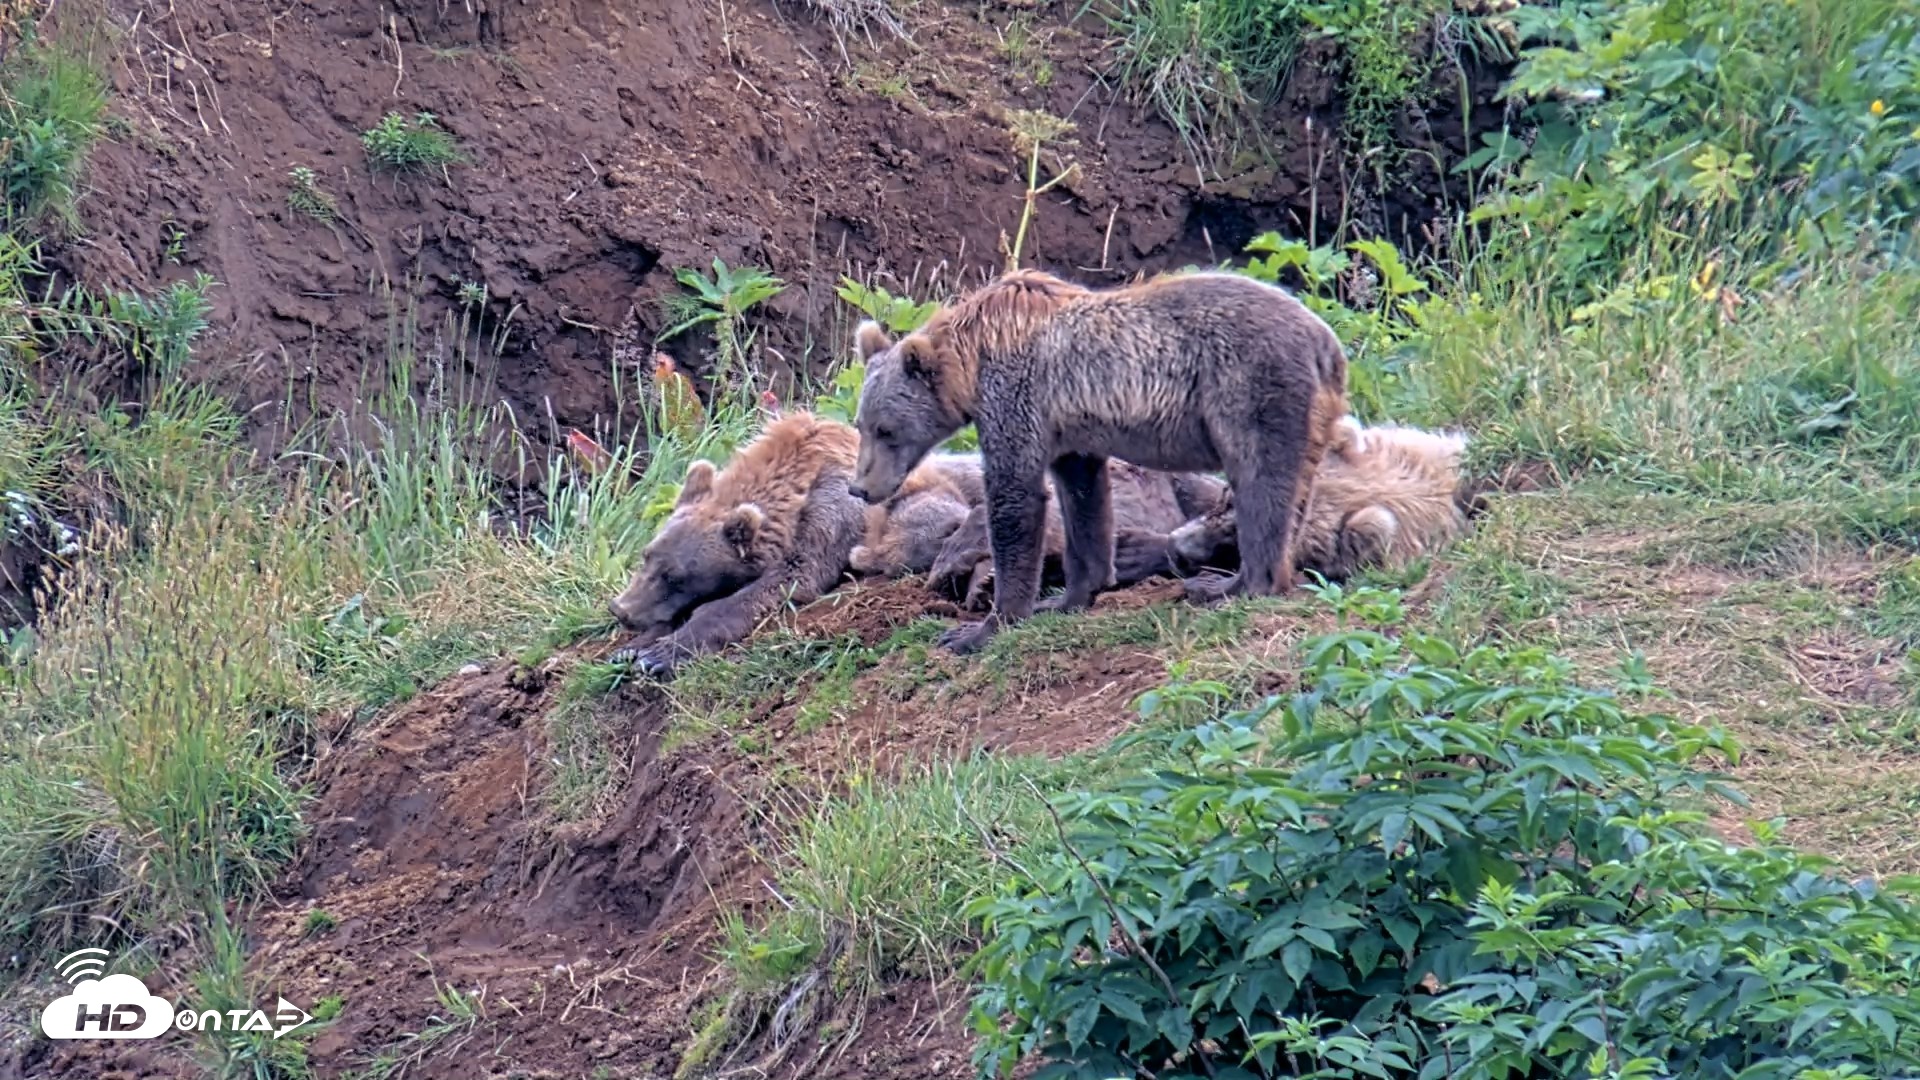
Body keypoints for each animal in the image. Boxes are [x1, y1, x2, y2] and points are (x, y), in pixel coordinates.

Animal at [607, 411, 865, 677]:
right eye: (646, 555)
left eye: (674, 576)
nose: (620, 609)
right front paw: (631, 649)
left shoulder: (831, 513)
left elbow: (790, 577)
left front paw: (659, 655)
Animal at [848, 267, 1348, 654]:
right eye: (861, 424)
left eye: (886, 430)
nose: (860, 487)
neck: (971, 361)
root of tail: (1328, 343)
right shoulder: (1069, 429)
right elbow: (1084, 497)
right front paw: (1068, 596)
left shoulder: (1016, 396)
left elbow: (1016, 498)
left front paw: (981, 627)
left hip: (1250, 388)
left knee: (1261, 484)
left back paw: (1228, 586)